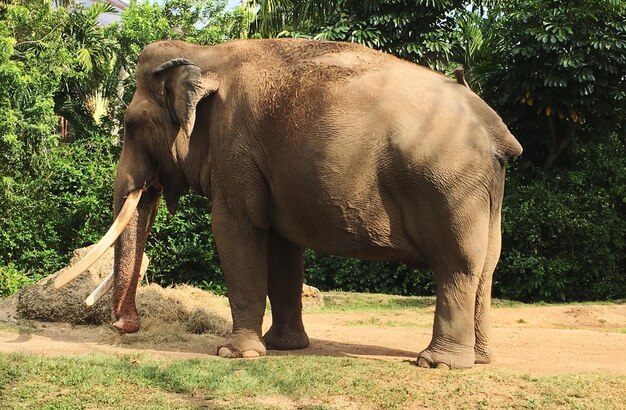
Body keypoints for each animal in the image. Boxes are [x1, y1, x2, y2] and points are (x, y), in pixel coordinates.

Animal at [56, 38, 520, 370]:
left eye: (130, 126)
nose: (126, 325)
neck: (205, 52)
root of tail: (495, 129)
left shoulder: (235, 149)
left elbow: (235, 231)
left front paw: (235, 354)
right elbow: (282, 247)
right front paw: (284, 347)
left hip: (449, 186)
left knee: (457, 264)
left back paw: (437, 364)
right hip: (487, 191)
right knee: (486, 266)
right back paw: (480, 360)